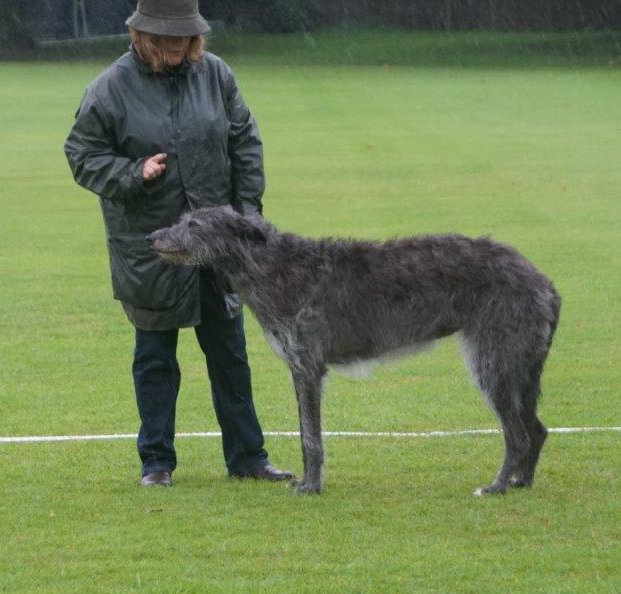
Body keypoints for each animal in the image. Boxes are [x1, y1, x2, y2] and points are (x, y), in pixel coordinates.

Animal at [148, 206, 560, 492]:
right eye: (182, 219)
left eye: (195, 224)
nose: (152, 237)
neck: (271, 266)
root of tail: (543, 280)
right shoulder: (300, 366)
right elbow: (305, 433)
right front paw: (307, 482)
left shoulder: (308, 365)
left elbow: (311, 437)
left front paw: (311, 487)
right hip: (521, 366)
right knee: (537, 429)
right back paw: (521, 483)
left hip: (494, 361)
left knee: (518, 435)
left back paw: (497, 487)